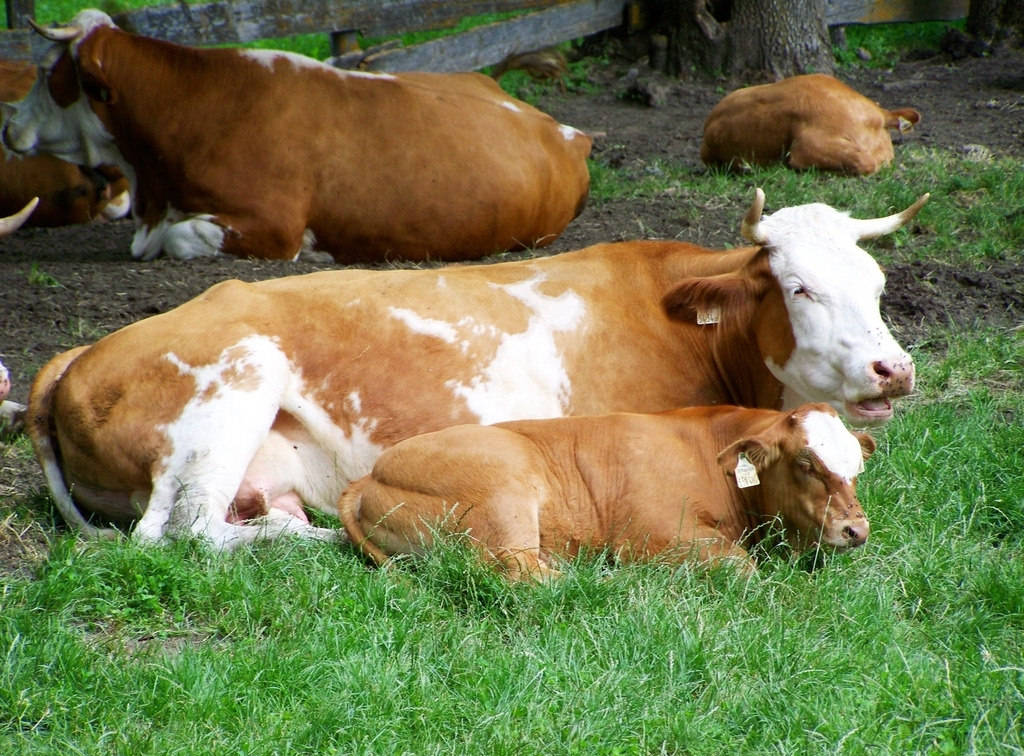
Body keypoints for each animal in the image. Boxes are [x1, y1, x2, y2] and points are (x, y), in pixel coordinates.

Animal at [25, 185, 921, 544]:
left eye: (877, 283)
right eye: (800, 289)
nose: (894, 370)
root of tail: (80, 352)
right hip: (232, 387)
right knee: (180, 534)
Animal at [339, 403, 876, 581]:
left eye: (858, 467)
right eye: (807, 463)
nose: (856, 529)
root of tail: (369, 475)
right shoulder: (656, 535)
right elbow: (741, 567)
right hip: (505, 494)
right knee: (529, 578)